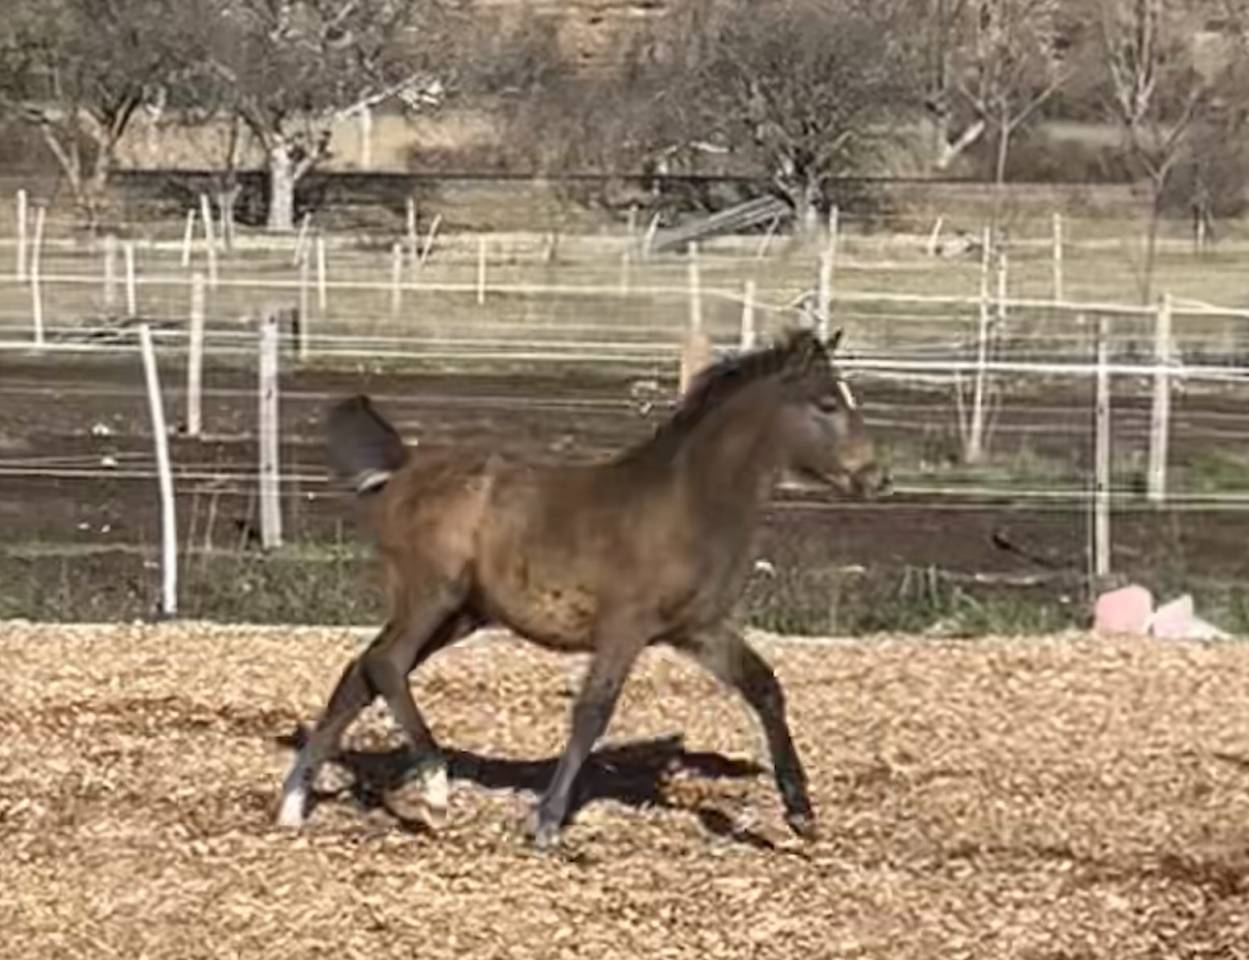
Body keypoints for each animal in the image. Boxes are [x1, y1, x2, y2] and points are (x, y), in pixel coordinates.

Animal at [277, 328, 889, 848]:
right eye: (827, 404)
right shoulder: (625, 627)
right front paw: (546, 822)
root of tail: (403, 469)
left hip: (460, 614)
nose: (876, 477)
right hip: (432, 597)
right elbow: (593, 711)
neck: (687, 504)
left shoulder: (698, 629)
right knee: (385, 665)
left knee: (360, 673)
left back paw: (292, 803)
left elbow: (764, 686)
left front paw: (801, 813)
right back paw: (434, 787)